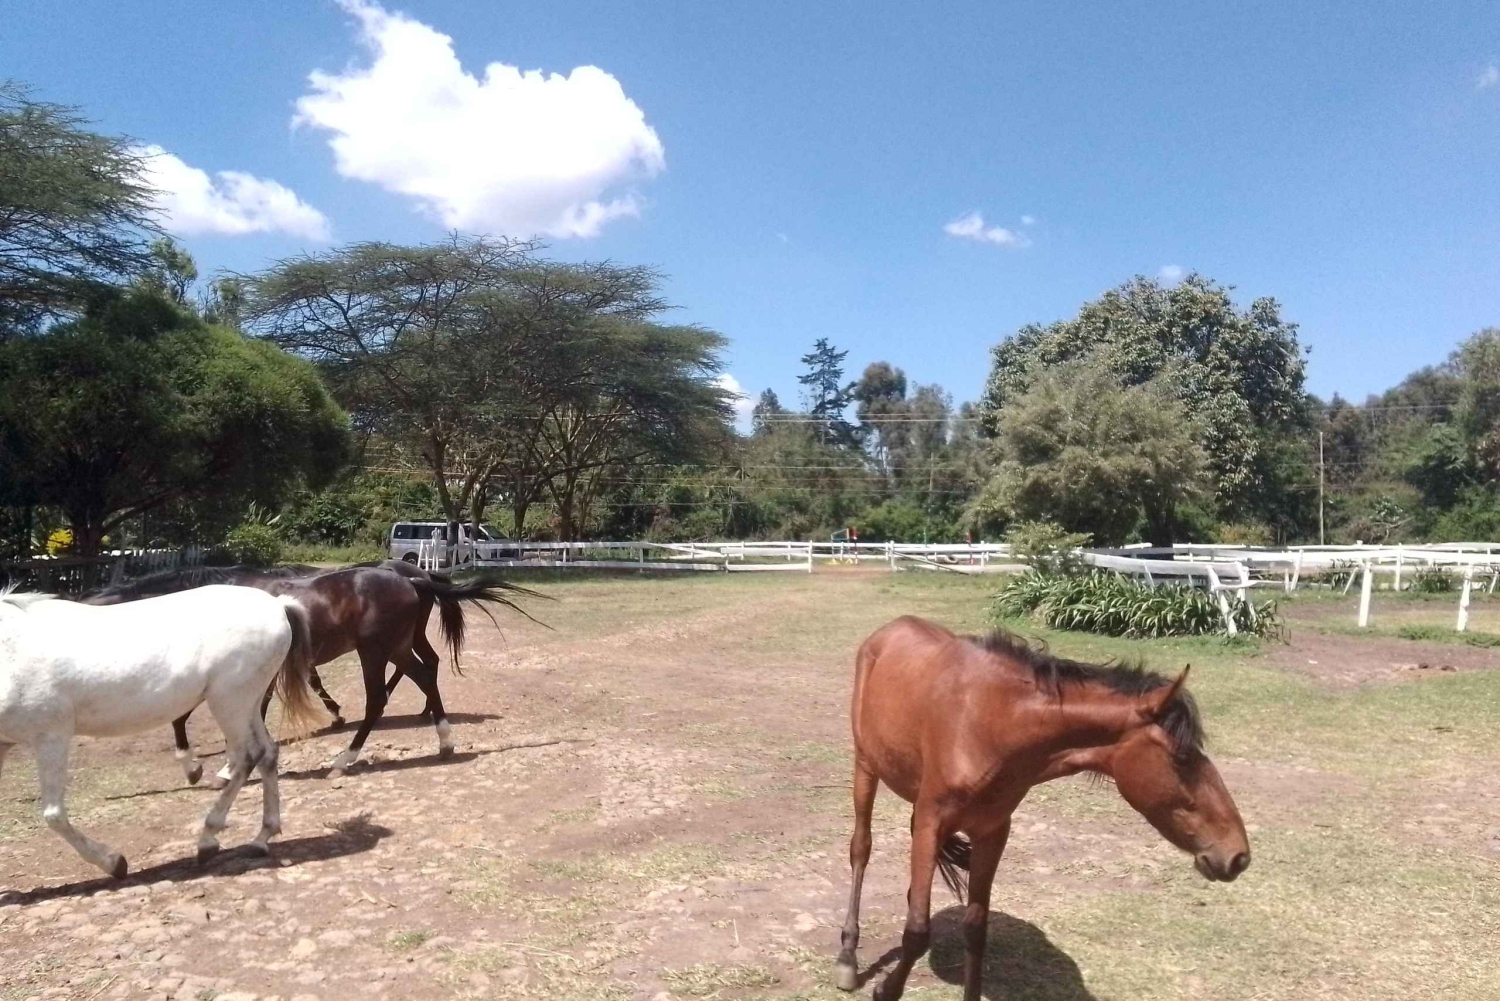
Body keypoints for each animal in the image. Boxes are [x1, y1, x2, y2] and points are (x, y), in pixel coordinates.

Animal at [0, 584, 323, 877]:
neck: (10, 652)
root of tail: (277, 605)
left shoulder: (50, 736)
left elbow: (54, 815)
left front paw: (115, 863)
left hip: (230, 702)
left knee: (248, 756)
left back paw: (208, 840)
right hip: (249, 704)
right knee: (268, 753)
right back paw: (261, 838)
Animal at [82, 564, 539, 781]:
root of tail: (414, 580)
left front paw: (205, 767)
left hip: (375, 651)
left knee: (379, 698)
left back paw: (345, 760)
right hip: (396, 647)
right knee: (425, 675)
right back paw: (443, 741)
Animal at [836, 617, 1250, 1001]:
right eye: (1181, 757)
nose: (1238, 856)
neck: (991, 722)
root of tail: (891, 629)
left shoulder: (991, 832)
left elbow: (975, 928)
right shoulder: (931, 823)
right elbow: (917, 932)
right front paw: (885, 989)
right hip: (866, 767)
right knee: (861, 849)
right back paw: (847, 958)